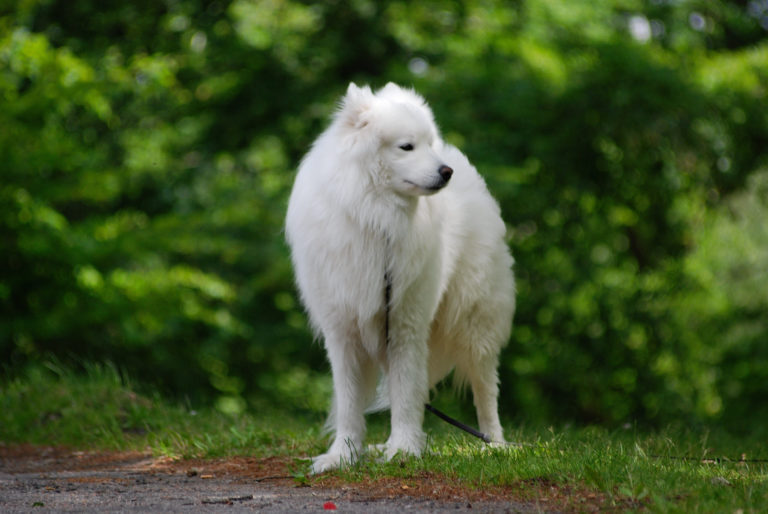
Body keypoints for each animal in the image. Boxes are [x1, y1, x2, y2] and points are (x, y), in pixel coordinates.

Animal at [286, 82, 516, 470]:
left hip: (474, 322)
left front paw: (405, 450)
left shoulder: (406, 324)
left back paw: (495, 444)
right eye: (407, 146)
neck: (377, 219)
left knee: (486, 389)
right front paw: (344, 455)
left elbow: (407, 395)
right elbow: (350, 402)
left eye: (428, 144)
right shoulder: (343, 330)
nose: (446, 171)